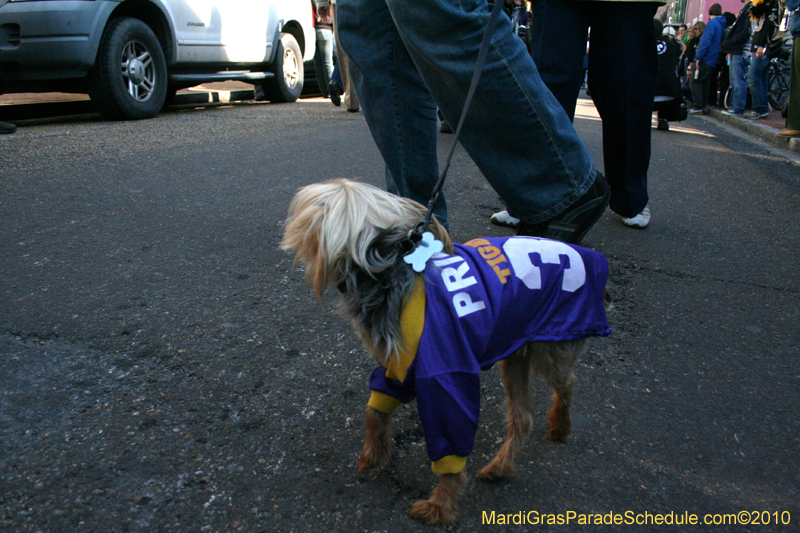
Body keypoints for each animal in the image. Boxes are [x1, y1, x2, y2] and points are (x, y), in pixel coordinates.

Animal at [278, 179, 608, 524]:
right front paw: (374, 452)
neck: (387, 277)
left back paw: (560, 424)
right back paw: (500, 466)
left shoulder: (446, 375)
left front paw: (441, 505)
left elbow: (450, 438)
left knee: (565, 383)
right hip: (514, 351)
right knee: (523, 417)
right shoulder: (399, 366)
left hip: (553, 343)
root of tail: (592, 260)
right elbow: (374, 410)